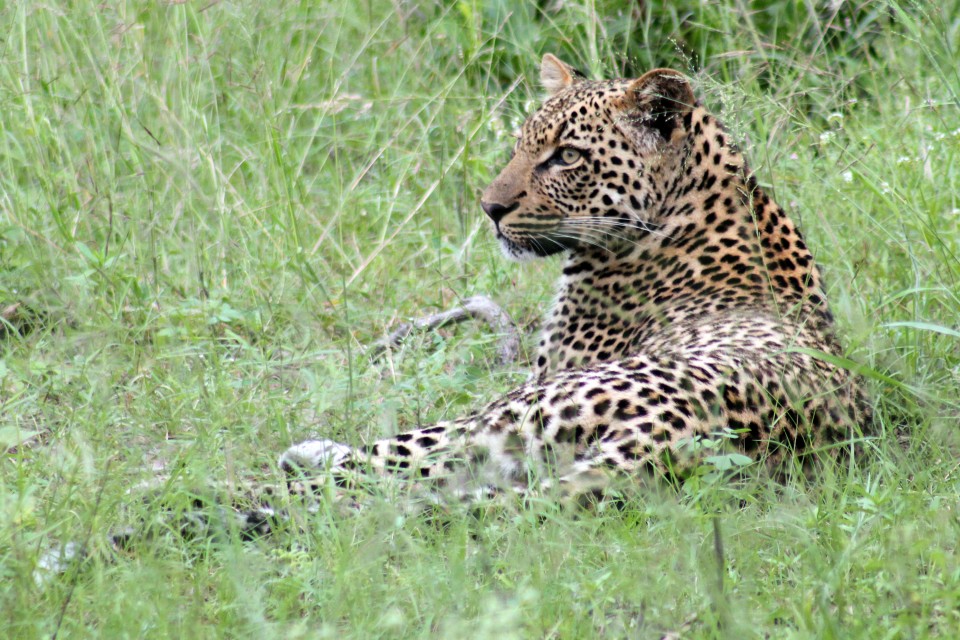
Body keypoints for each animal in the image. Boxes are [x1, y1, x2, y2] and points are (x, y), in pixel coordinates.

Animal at [277, 54, 871, 505]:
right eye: (520, 143)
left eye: (566, 157)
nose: (490, 208)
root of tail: (669, 436)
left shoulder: (538, 376)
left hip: (511, 413)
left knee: (382, 467)